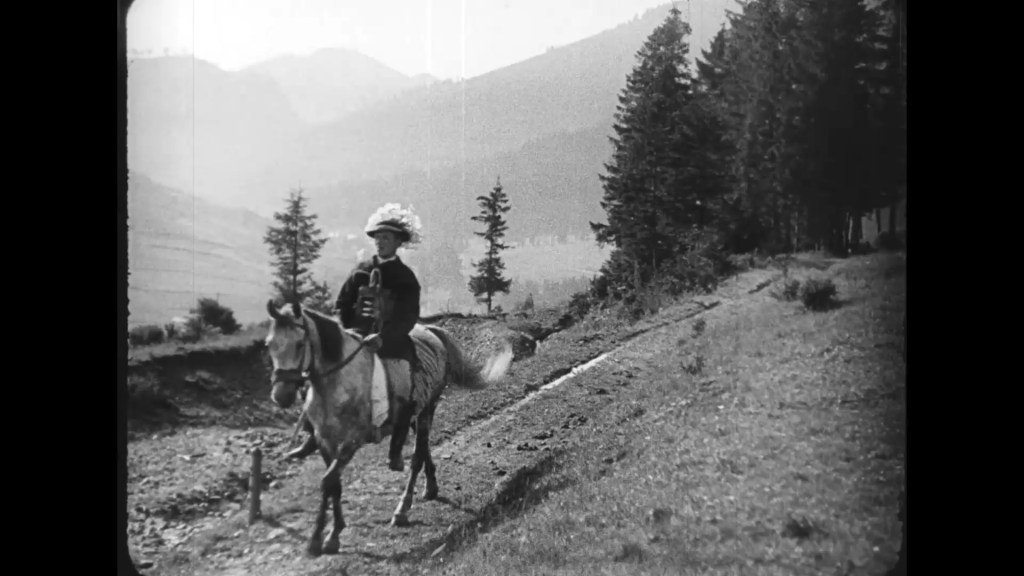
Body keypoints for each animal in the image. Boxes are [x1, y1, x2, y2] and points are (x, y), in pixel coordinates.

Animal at [264, 300, 511, 556]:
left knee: (417, 456)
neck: (338, 382)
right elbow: (334, 485)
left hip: (426, 408)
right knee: (423, 448)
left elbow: (328, 481)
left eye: (299, 344)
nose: (281, 396)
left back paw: (402, 508)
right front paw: (330, 534)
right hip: (416, 414)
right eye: (269, 344)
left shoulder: (352, 441)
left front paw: (322, 537)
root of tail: (431, 332)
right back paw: (430, 487)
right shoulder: (325, 441)